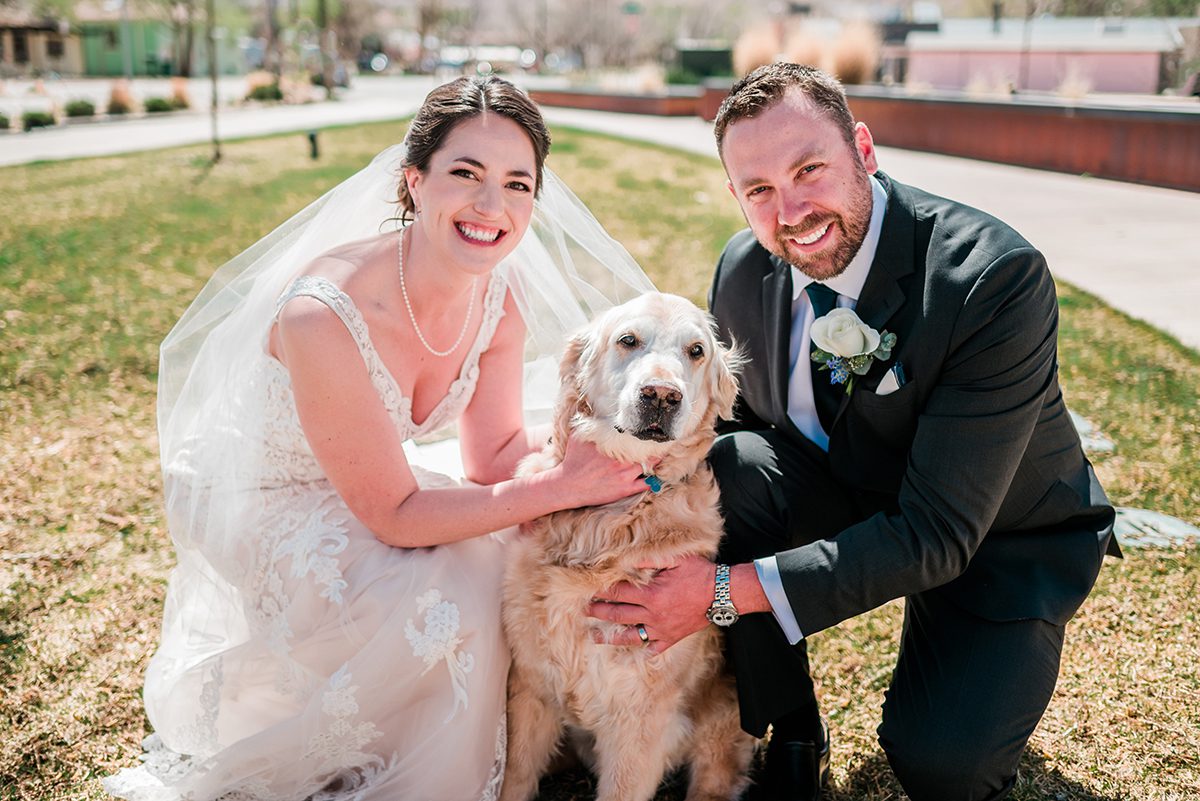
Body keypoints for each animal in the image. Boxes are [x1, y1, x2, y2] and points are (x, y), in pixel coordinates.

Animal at [501, 291, 753, 801]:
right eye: (628, 340)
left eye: (696, 351)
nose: (661, 395)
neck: (613, 517)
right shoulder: (531, 689)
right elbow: (513, 780)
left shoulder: (639, 721)